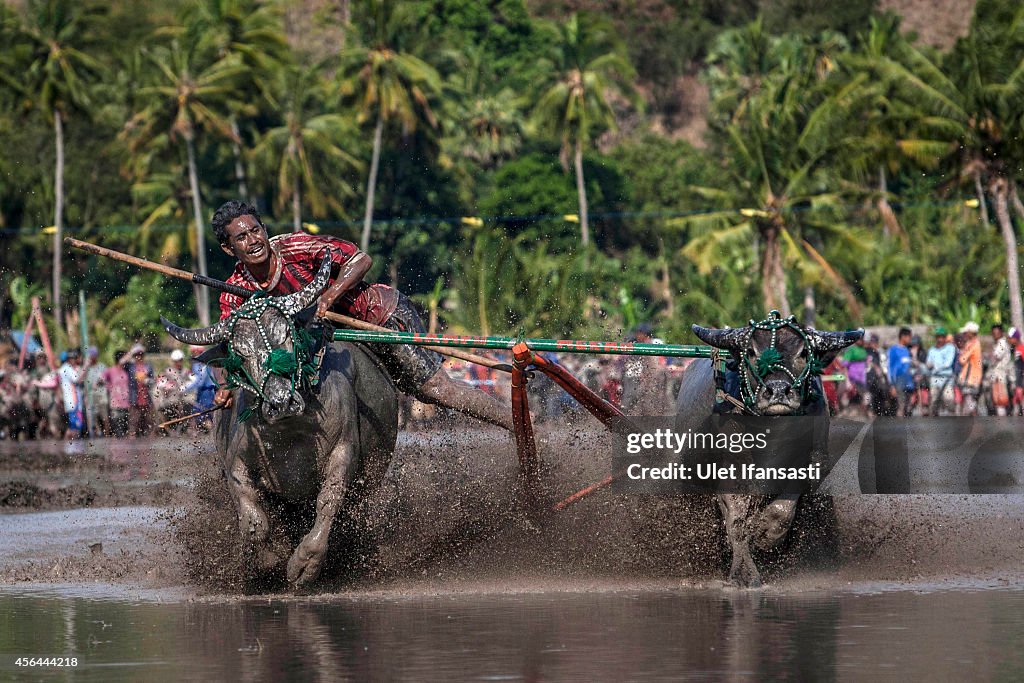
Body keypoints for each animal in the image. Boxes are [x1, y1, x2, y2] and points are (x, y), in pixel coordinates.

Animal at [161, 255, 397, 589]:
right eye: (240, 353)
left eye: (286, 335)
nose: (282, 401)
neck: (291, 430)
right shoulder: (236, 464)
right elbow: (253, 520)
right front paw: (266, 560)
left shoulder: (343, 451)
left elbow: (329, 501)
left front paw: (305, 563)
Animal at [679, 313, 864, 585]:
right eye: (752, 352)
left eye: (802, 353)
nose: (778, 391)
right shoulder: (728, 475)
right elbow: (736, 522)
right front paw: (744, 573)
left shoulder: (806, 468)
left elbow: (781, 511)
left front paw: (765, 536)